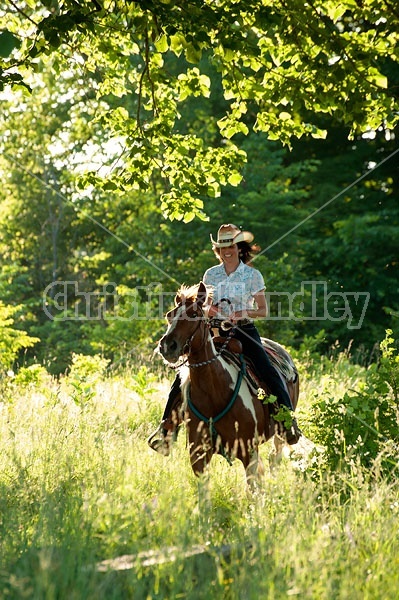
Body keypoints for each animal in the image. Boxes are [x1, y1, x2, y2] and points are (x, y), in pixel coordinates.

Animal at [159, 282, 300, 488]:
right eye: (170, 315)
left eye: (194, 314)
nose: (167, 347)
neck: (214, 392)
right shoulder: (198, 455)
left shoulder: (248, 451)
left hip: (280, 433)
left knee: (275, 457)